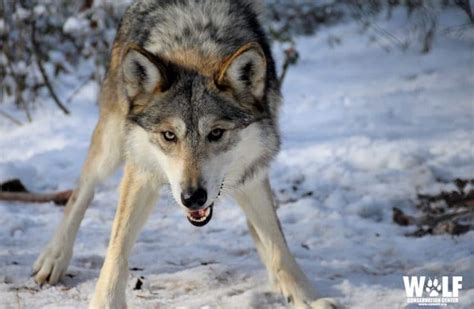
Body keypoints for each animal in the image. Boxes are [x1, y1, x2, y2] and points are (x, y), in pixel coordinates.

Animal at [31, 1, 336, 306]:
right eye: (169, 135)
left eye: (216, 133)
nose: (192, 198)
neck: (196, 46)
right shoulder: (140, 171)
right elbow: (117, 247)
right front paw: (106, 301)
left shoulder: (253, 174)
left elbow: (277, 244)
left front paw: (305, 298)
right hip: (111, 142)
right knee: (81, 191)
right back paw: (53, 257)